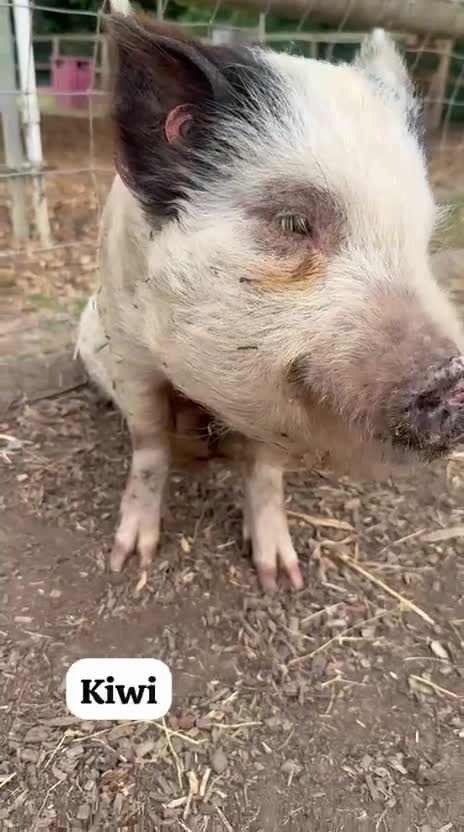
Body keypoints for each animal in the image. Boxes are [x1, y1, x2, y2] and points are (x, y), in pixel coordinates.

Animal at [76, 8, 464, 592]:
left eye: (422, 237)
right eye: (293, 223)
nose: (454, 375)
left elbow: (264, 470)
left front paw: (281, 577)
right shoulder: (128, 347)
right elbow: (149, 445)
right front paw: (128, 559)